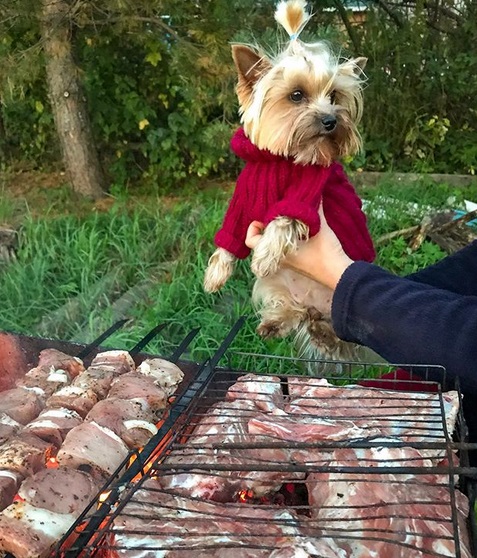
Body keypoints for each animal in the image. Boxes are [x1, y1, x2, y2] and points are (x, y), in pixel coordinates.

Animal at [203, 0, 374, 360]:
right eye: (296, 95)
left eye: (334, 96)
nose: (330, 120)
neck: (281, 161)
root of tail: (315, 309)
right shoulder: (242, 200)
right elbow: (229, 237)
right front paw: (215, 274)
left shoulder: (306, 196)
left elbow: (284, 218)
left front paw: (265, 254)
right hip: (274, 287)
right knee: (295, 313)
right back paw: (277, 322)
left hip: (341, 306)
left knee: (338, 333)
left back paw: (326, 335)